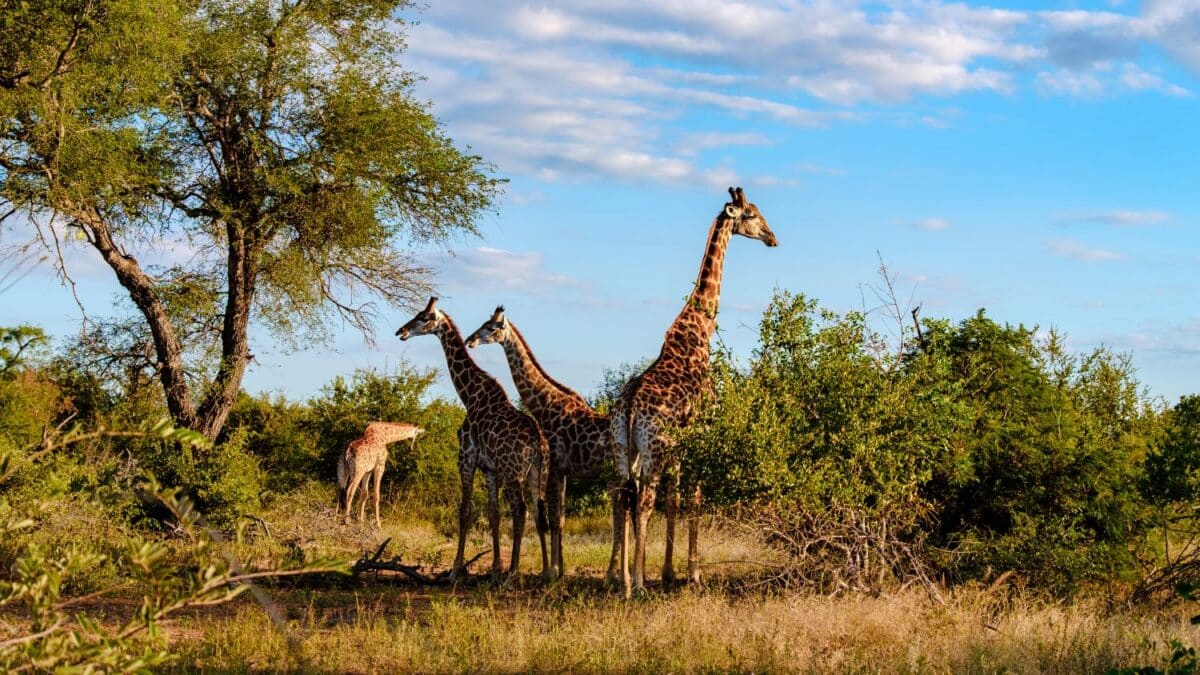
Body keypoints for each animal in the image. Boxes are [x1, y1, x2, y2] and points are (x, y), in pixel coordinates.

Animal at [400, 296, 554, 581]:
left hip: (514, 472)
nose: (400, 332)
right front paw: (494, 570)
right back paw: (546, 572)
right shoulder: (490, 469)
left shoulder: (466, 458)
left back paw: (513, 574)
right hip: (538, 473)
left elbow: (465, 511)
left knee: (521, 510)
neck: (469, 394)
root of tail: (538, 443)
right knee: (539, 511)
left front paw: (455, 570)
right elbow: (493, 514)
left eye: (424, 318)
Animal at [465, 306, 624, 578]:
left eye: (491, 327)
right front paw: (560, 570)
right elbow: (560, 519)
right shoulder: (562, 472)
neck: (545, 404)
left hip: (615, 475)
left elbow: (552, 519)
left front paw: (551, 572)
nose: (470, 340)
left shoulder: (552, 468)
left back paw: (612, 574)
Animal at [609, 184, 777, 593]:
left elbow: (675, 500)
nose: (772, 238)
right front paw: (693, 574)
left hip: (624, 449)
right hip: (653, 449)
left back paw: (619, 580)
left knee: (623, 497)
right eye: (751, 214)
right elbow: (694, 499)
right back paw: (638, 584)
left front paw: (670, 572)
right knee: (643, 501)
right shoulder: (704, 432)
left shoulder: (681, 446)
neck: (700, 331)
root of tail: (630, 406)